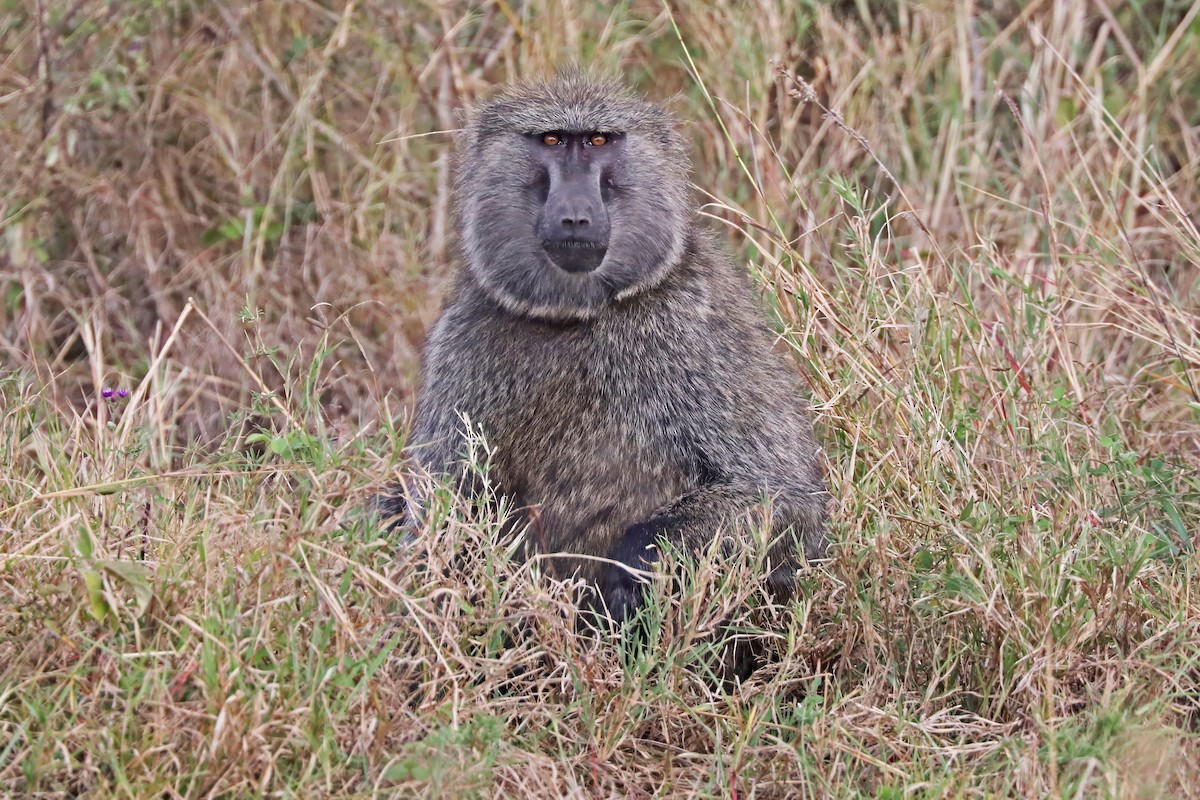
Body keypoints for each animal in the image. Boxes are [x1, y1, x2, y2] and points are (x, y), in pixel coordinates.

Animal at [380, 69, 828, 628]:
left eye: (598, 141)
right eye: (552, 140)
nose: (574, 215)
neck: (578, 317)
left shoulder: (699, 334)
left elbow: (785, 498)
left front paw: (635, 561)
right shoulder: (461, 343)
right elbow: (442, 518)